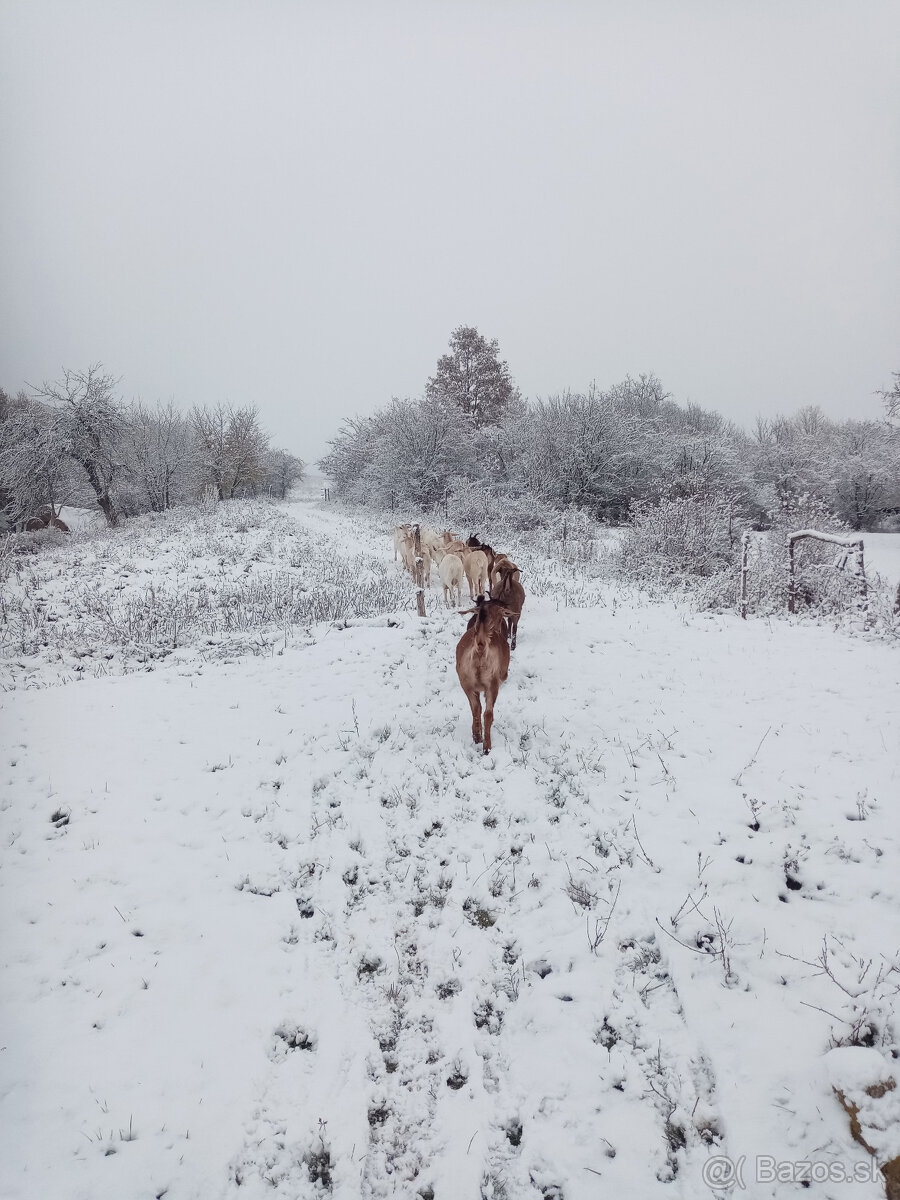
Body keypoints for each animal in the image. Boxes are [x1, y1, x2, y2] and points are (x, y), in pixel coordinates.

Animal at [458, 597, 513, 753]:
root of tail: (480, 650)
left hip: (466, 683)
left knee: (476, 709)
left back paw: (477, 737)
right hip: (492, 684)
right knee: (487, 713)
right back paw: (487, 747)